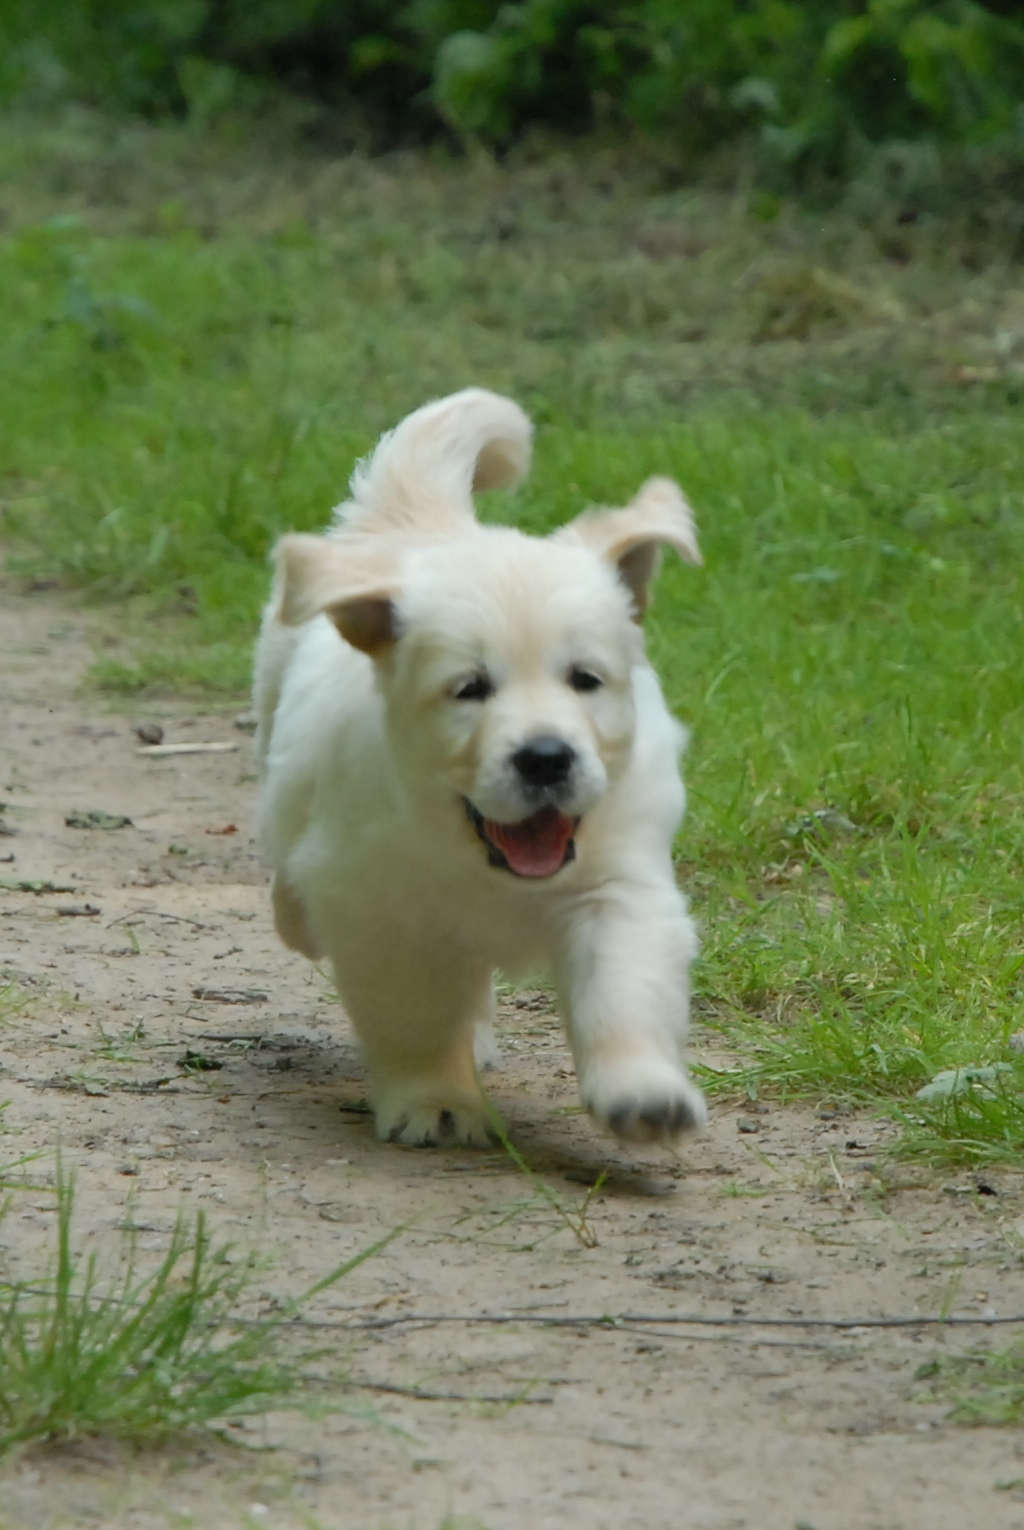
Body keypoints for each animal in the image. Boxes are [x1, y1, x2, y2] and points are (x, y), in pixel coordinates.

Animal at [254, 388, 707, 1148]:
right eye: (469, 689)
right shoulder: (383, 912)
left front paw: (643, 1090)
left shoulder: (615, 886)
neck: (481, 859)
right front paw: (436, 1098)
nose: (546, 758)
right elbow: (415, 1019)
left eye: (585, 679)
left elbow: (623, 990)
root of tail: (424, 523)